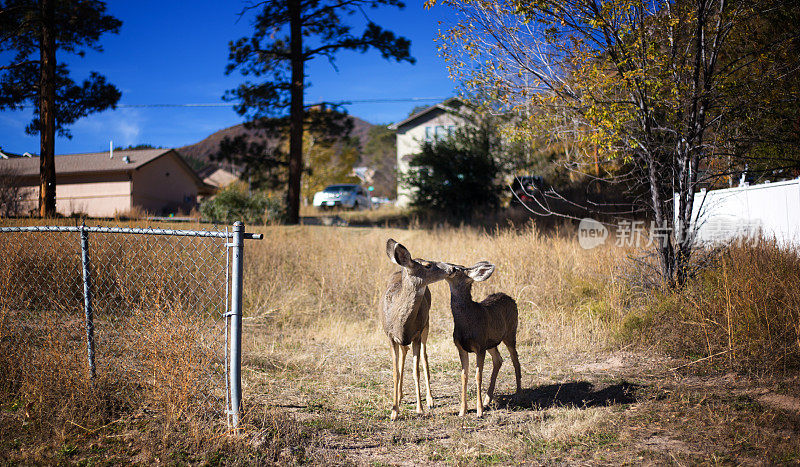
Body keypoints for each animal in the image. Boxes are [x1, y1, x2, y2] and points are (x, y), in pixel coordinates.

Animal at [378, 239, 446, 422]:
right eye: (428, 265)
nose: (451, 269)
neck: (402, 324)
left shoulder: (416, 334)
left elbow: (416, 371)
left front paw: (420, 409)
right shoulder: (390, 337)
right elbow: (395, 372)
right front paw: (394, 411)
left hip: (426, 325)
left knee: (424, 356)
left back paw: (430, 399)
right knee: (404, 353)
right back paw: (400, 396)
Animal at [438, 262, 520, 418]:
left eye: (456, 269)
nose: (446, 267)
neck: (466, 324)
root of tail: (510, 298)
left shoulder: (480, 346)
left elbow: (478, 376)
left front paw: (479, 411)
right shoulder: (461, 347)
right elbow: (464, 376)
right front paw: (462, 411)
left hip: (510, 333)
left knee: (515, 360)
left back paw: (519, 392)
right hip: (491, 343)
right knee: (498, 359)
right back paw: (488, 399)